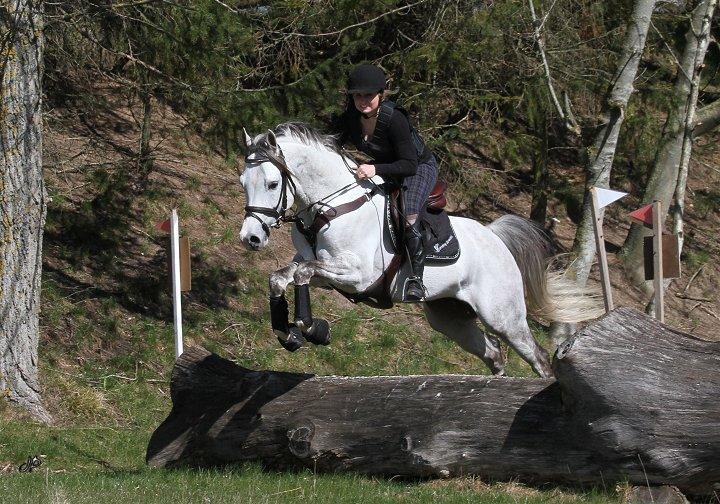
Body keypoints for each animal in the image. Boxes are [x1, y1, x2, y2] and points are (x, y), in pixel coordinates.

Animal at [238, 122, 600, 376]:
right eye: (243, 182)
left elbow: (301, 273)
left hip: (503, 315)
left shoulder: (357, 275)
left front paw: (313, 329)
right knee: (494, 354)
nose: (250, 238)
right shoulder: (322, 269)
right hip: (449, 317)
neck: (332, 205)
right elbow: (282, 276)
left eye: (272, 183)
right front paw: (288, 334)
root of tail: (495, 237)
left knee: (536, 356)